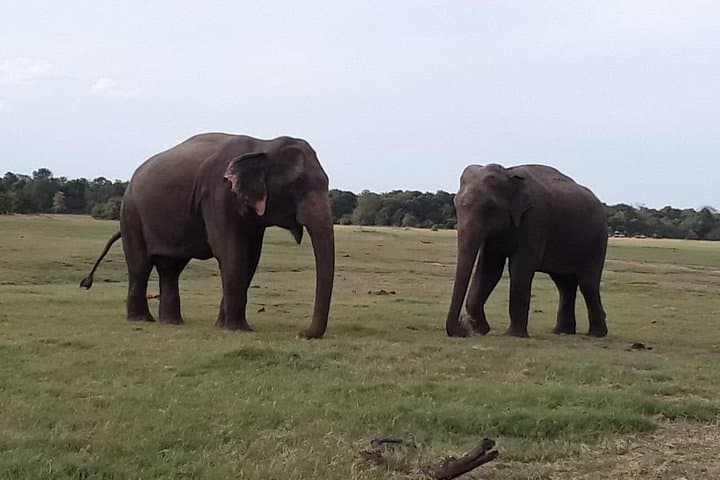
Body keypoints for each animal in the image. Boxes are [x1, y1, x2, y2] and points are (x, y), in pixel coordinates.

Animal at [80, 133, 335, 339]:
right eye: (297, 185)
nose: (301, 333)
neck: (263, 145)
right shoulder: (217, 194)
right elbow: (231, 252)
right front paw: (237, 330)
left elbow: (251, 258)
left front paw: (223, 326)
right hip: (131, 214)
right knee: (140, 266)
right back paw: (142, 320)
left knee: (170, 268)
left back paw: (172, 322)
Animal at [445, 164, 608, 338]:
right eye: (455, 203)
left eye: (490, 207)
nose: (463, 328)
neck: (509, 174)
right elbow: (489, 269)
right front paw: (481, 329)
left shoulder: (535, 219)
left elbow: (520, 268)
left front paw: (513, 335)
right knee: (564, 284)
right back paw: (563, 332)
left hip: (597, 241)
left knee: (587, 283)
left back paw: (596, 334)